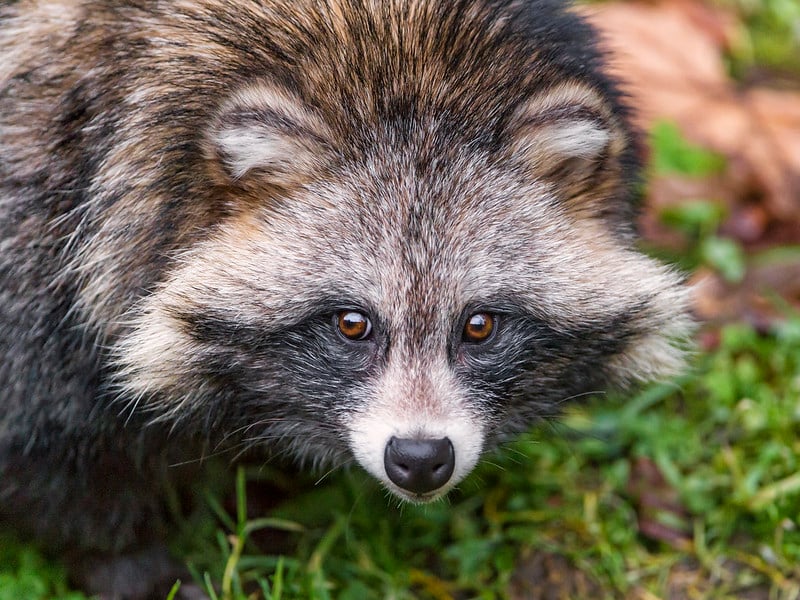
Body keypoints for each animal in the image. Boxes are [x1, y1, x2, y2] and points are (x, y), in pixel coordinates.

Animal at [0, 0, 691, 596]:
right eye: (352, 324)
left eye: (480, 326)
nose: (420, 458)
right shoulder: (34, 244)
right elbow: (67, 464)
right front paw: (133, 567)